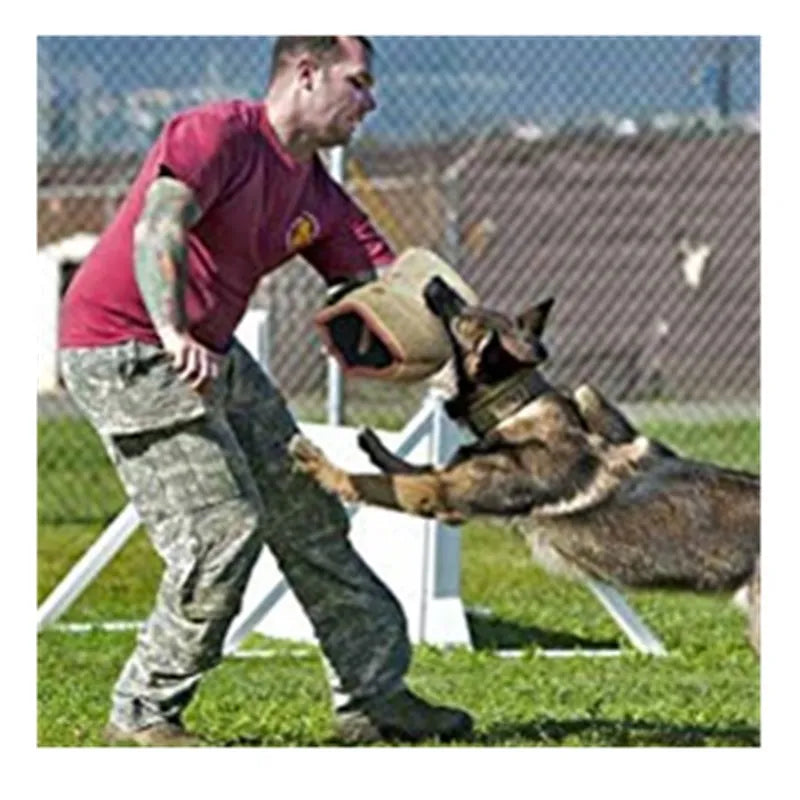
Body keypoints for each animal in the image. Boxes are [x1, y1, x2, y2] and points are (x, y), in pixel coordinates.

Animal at [290, 278, 764, 652]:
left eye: (464, 316)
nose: (437, 282)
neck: (517, 407)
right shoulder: (453, 492)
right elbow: (414, 467)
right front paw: (375, 447)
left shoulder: (442, 495)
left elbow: (373, 481)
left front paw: (323, 466)